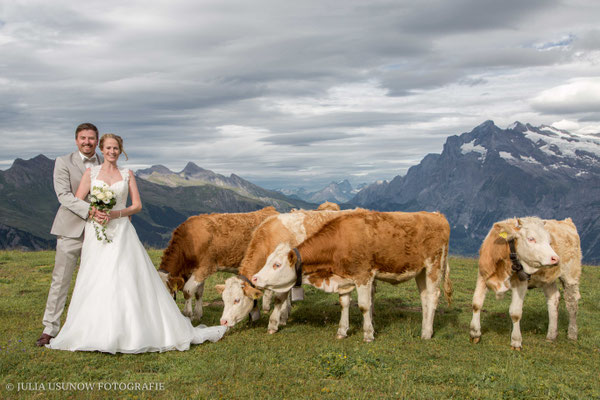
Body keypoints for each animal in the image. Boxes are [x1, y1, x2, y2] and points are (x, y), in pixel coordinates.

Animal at [216, 206, 360, 332]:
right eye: (223, 299)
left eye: (237, 300)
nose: (223, 321)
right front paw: (284, 315)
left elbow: (280, 298)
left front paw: (277, 322)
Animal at [251, 211, 452, 342]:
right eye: (268, 260)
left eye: (277, 264)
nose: (254, 278)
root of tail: (436, 214)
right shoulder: (343, 278)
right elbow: (344, 304)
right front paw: (342, 331)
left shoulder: (363, 275)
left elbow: (364, 306)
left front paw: (368, 334)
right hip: (420, 271)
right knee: (424, 298)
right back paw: (425, 328)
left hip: (434, 266)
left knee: (433, 296)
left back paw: (426, 333)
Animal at [468, 216, 580, 350]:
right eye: (531, 238)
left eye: (549, 241)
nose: (555, 258)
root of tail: (566, 222)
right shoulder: (482, 276)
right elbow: (476, 303)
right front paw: (475, 333)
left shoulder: (520, 283)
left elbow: (515, 313)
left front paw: (516, 342)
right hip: (547, 279)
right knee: (553, 299)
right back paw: (551, 335)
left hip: (571, 275)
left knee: (572, 302)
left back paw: (572, 334)